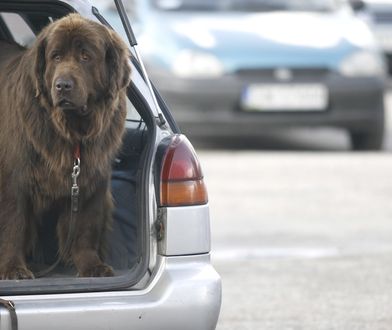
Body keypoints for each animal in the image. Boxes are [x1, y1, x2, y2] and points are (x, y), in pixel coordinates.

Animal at [0, 14, 132, 280]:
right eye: (56, 57)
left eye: (85, 56)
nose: (62, 85)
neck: (72, 132)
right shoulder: (13, 179)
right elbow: (14, 224)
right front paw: (13, 268)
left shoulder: (90, 180)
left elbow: (84, 227)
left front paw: (91, 265)